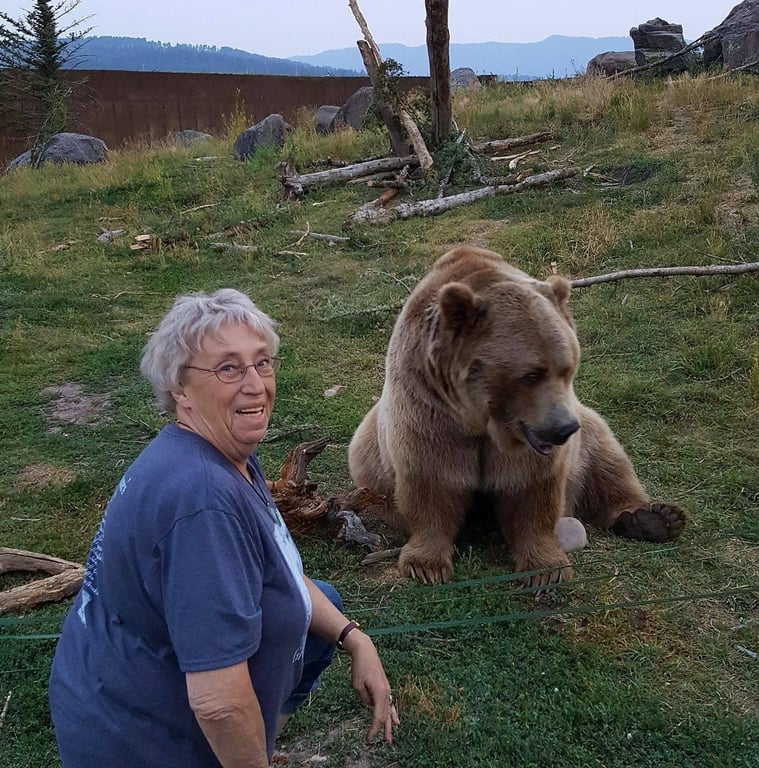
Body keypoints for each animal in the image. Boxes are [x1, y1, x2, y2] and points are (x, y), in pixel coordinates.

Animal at [348, 245, 685, 587]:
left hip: (587, 432)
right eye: (531, 375)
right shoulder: (429, 409)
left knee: (608, 462)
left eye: (567, 368)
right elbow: (431, 481)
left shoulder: (531, 441)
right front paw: (426, 565)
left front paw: (545, 569)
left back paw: (654, 518)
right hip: (367, 452)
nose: (564, 428)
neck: (484, 420)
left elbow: (531, 489)